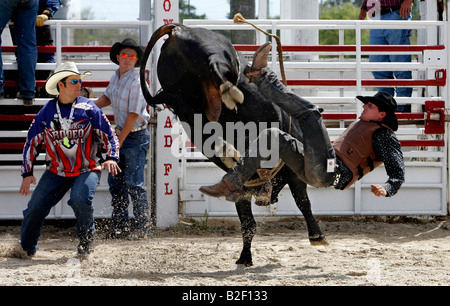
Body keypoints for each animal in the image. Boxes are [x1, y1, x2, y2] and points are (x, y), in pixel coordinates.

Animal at [140, 23, 326, 266]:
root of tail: (180, 29)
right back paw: (232, 95)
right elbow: (303, 201)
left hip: (181, 97)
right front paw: (316, 235)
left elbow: (248, 222)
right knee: (221, 72)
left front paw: (244, 257)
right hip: (215, 55)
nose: (265, 196)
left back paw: (228, 145)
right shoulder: (293, 174)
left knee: (201, 117)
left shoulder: (243, 189)